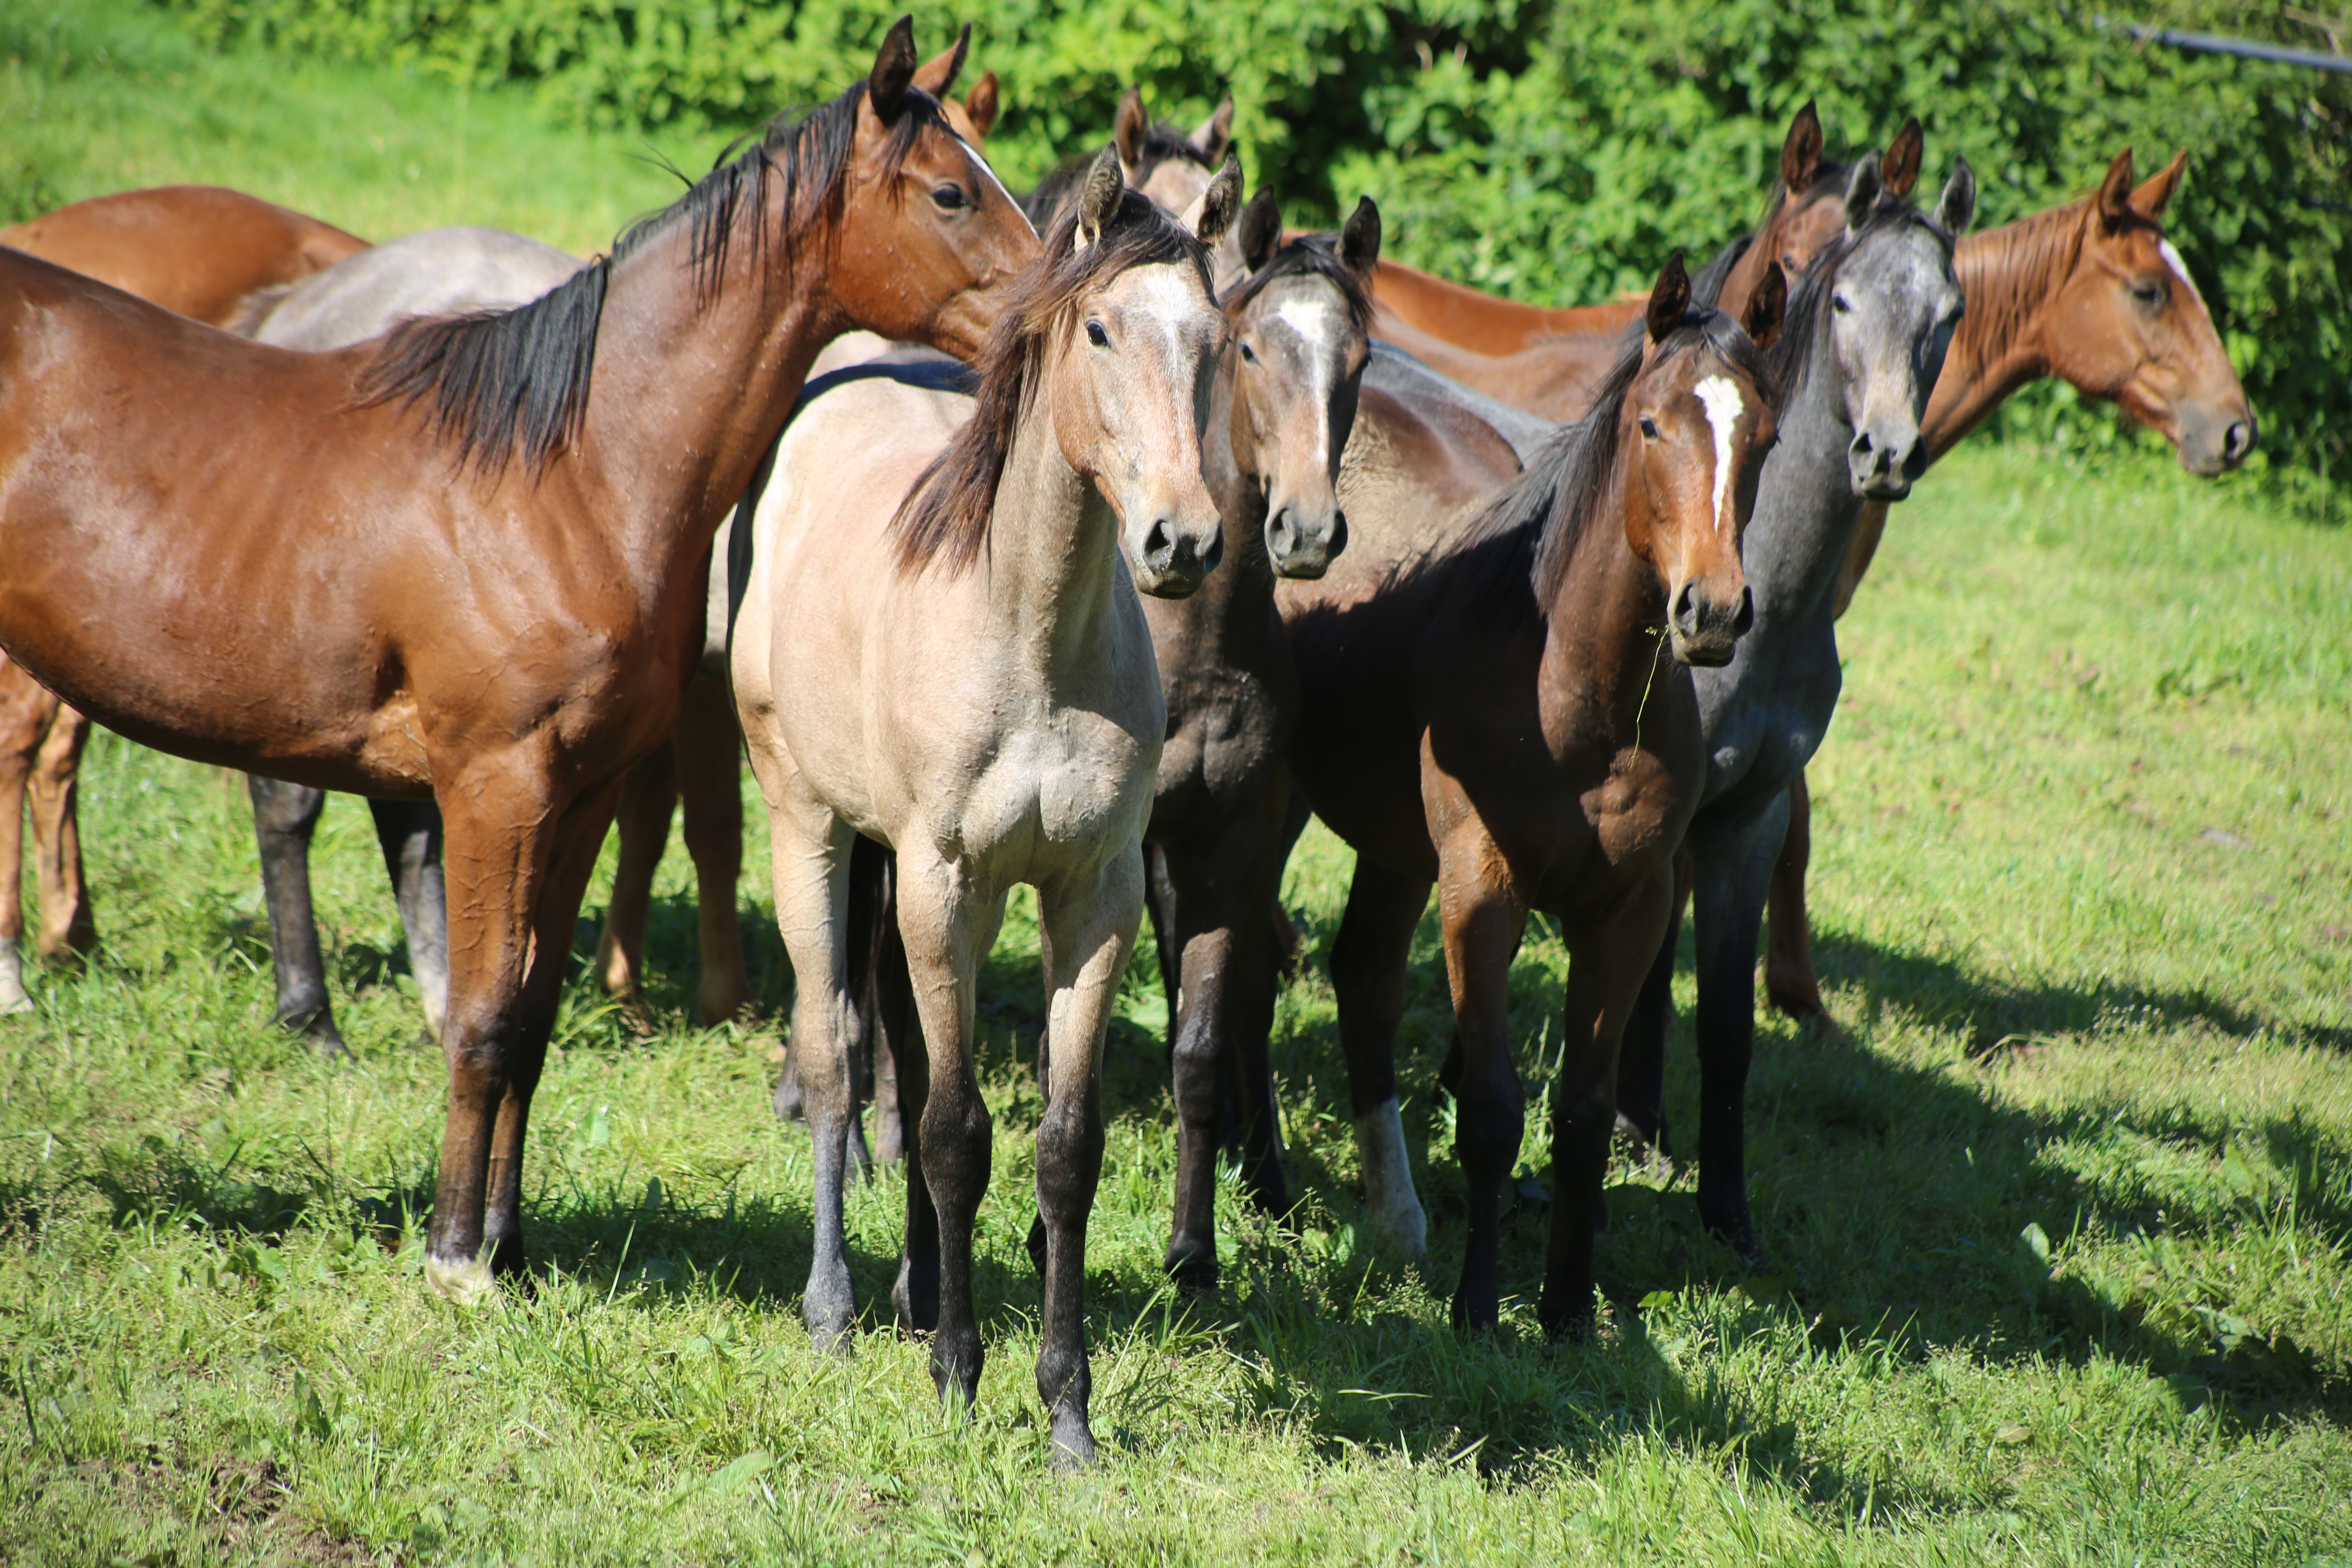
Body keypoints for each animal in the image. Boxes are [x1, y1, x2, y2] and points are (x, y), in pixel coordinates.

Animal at [0, 21, 1039, 1316]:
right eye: (952, 192)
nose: (1055, 313)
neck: (569, 475)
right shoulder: (495, 788)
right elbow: (485, 1016)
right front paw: (457, 1257)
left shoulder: (578, 794)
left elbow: (536, 1015)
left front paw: (509, 1239)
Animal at [729, 153, 1251, 1467]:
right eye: (1101, 329)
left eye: (1217, 339)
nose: (1182, 540)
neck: (1028, 642)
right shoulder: (945, 882)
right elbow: (958, 1133)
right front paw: (962, 1382)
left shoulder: (1094, 899)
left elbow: (1062, 1149)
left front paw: (1066, 1410)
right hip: (813, 832)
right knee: (835, 1059)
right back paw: (839, 1307)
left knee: (904, 1067)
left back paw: (918, 1294)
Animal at [1279, 257, 1787, 1335]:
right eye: (1650, 424)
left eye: (1762, 435)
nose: (1713, 612)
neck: (1571, 696)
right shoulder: (1482, 892)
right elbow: (1490, 1108)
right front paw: (1477, 1308)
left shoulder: (1628, 910)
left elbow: (1583, 1117)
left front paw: (1567, 1311)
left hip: (1393, 852)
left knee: (1363, 980)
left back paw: (1396, 1215)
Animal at [1608, 150, 1976, 1278]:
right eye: (1845, 298)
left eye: (1949, 310)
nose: (1883, 453)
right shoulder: (1670, 810)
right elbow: (1646, 975)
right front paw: (1634, 1132)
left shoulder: (1750, 810)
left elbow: (1726, 1026)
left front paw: (1725, 1212)